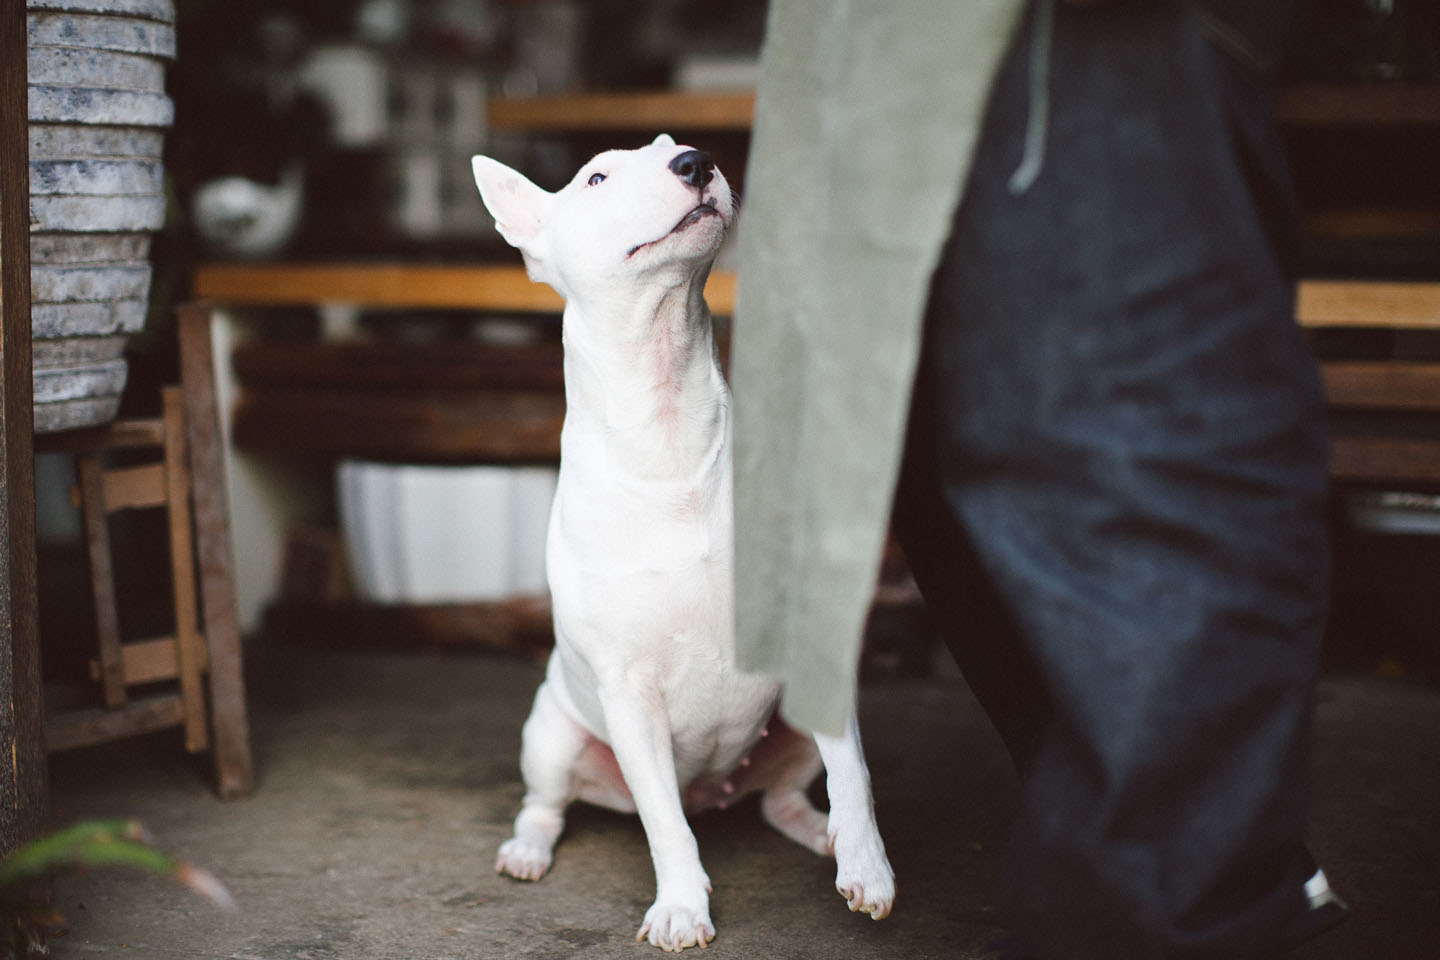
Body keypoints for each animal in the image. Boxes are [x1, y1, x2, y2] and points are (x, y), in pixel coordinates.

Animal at [472, 135, 892, 955]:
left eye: (673, 150)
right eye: (596, 177)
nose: (695, 163)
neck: (668, 427)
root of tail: (711, 790)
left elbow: (854, 772)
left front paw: (868, 866)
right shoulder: (627, 690)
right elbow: (664, 824)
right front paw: (680, 909)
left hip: (789, 732)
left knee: (781, 798)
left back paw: (820, 833)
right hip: (554, 733)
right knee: (553, 803)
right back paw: (528, 851)